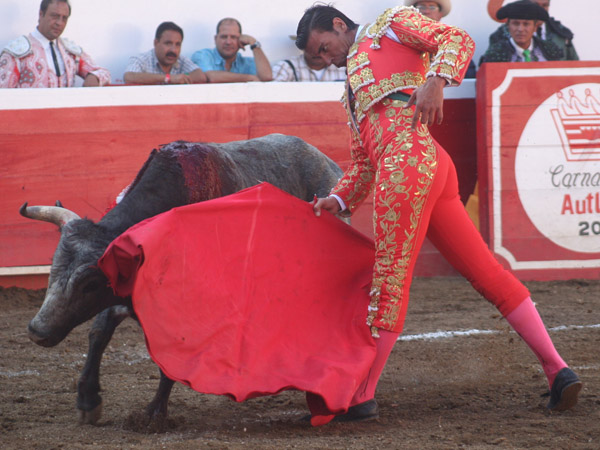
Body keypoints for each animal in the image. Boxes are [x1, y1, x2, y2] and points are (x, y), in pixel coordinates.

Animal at [19, 134, 342, 428]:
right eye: (54, 267)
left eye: (90, 283)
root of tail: (329, 164)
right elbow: (99, 333)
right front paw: (88, 400)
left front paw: (153, 414)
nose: (37, 331)